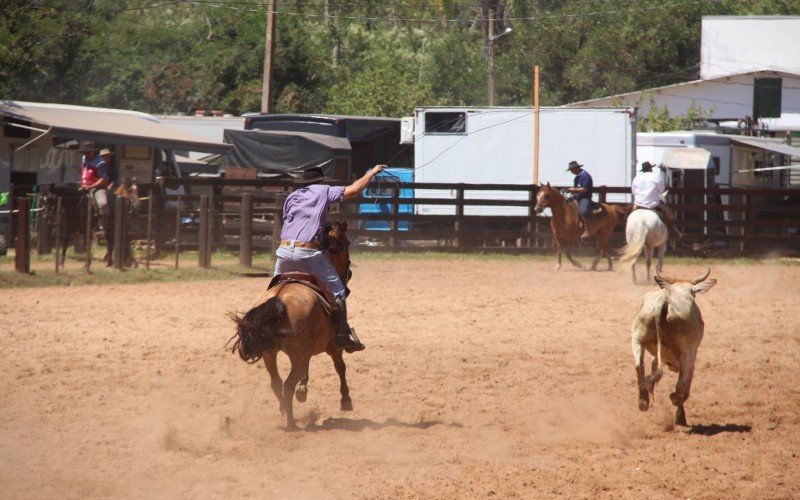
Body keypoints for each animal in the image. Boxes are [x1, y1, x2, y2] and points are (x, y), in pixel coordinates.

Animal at [231, 222, 356, 430]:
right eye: (346, 243)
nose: (349, 272)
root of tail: (279, 298)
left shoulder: (305, 351)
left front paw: (303, 389)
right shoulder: (332, 347)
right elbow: (341, 367)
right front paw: (346, 400)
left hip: (270, 354)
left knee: (276, 383)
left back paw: (284, 410)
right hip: (296, 353)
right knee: (287, 384)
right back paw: (291, 423)